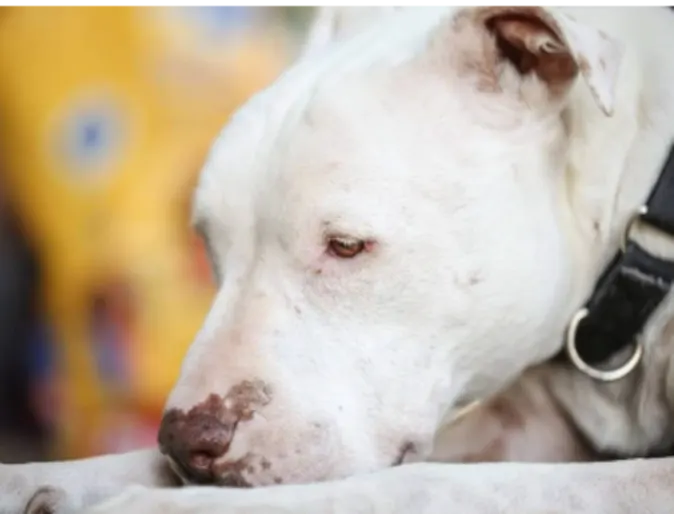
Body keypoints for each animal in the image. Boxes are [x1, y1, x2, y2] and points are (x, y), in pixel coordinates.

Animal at [1, 0, 672, 510]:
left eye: (347, 246)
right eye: (211, 245)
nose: (186, 441)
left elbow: (417, 486)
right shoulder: (524, 430)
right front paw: (37, 480)